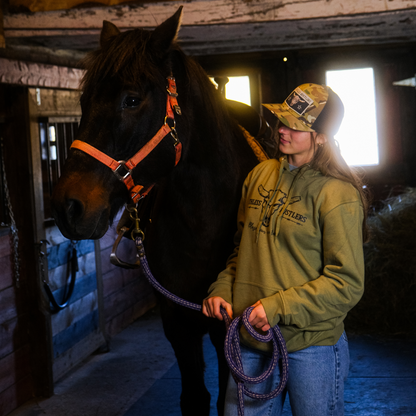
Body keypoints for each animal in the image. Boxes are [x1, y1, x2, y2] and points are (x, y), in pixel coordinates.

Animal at [51, 7, 272, 416]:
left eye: (131, 100)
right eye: (84, 100)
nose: (66, 206)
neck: (203, 224)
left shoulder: (225, 329)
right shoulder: (177, 324)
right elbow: (195, 399)